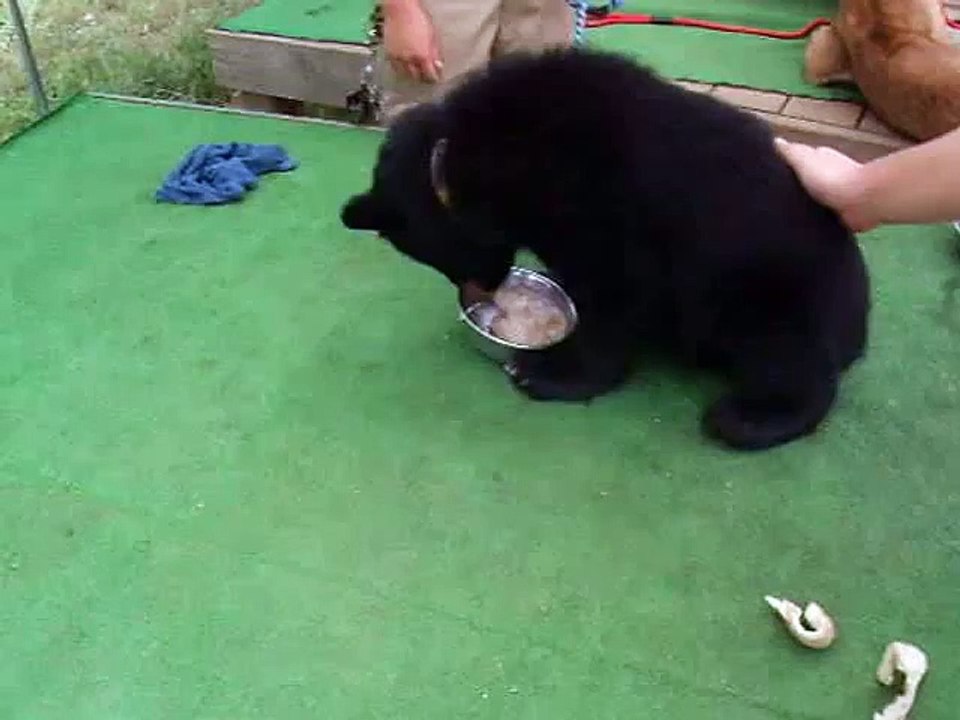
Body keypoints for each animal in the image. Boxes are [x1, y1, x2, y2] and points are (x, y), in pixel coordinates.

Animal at [341, 48, 870, 451]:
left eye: (445, 262)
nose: (481, 298)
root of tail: (858, 323)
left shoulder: (605, 204)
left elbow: (615, 291)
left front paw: (550, 372)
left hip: (770, 288)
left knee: (787, 352)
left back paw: (751, 416)